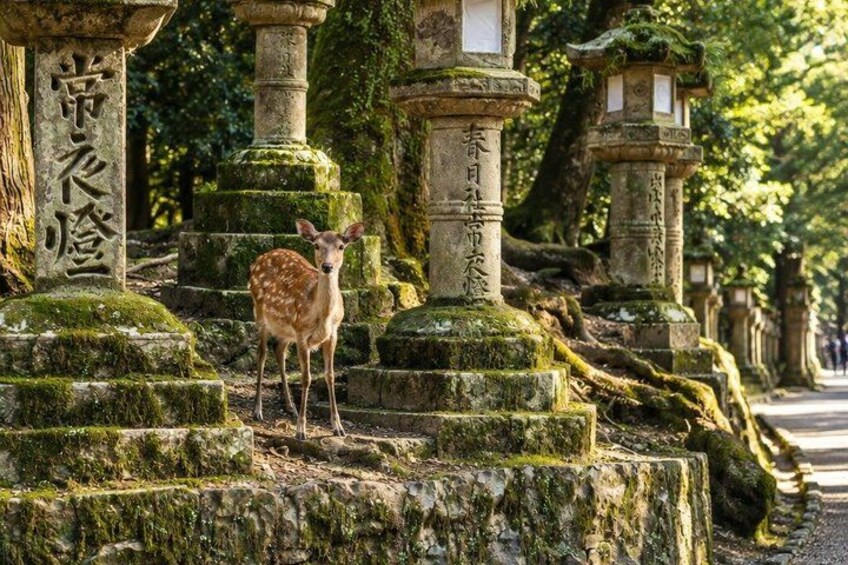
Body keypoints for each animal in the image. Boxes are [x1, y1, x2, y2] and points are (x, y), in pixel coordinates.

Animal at [249, 219, 365, 440]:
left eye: (341, 246)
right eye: (317, 245)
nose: (327, 266)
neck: (322, 316)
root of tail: (258, 259)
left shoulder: (333, 333)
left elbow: (330, 375)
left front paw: (338, 427)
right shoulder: (302, 334)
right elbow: (306, 378)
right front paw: (301, 430)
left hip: (286, 329)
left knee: (279, 350)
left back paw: (290, 406)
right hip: (260, 314)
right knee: (261, 354)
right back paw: (257, 410)